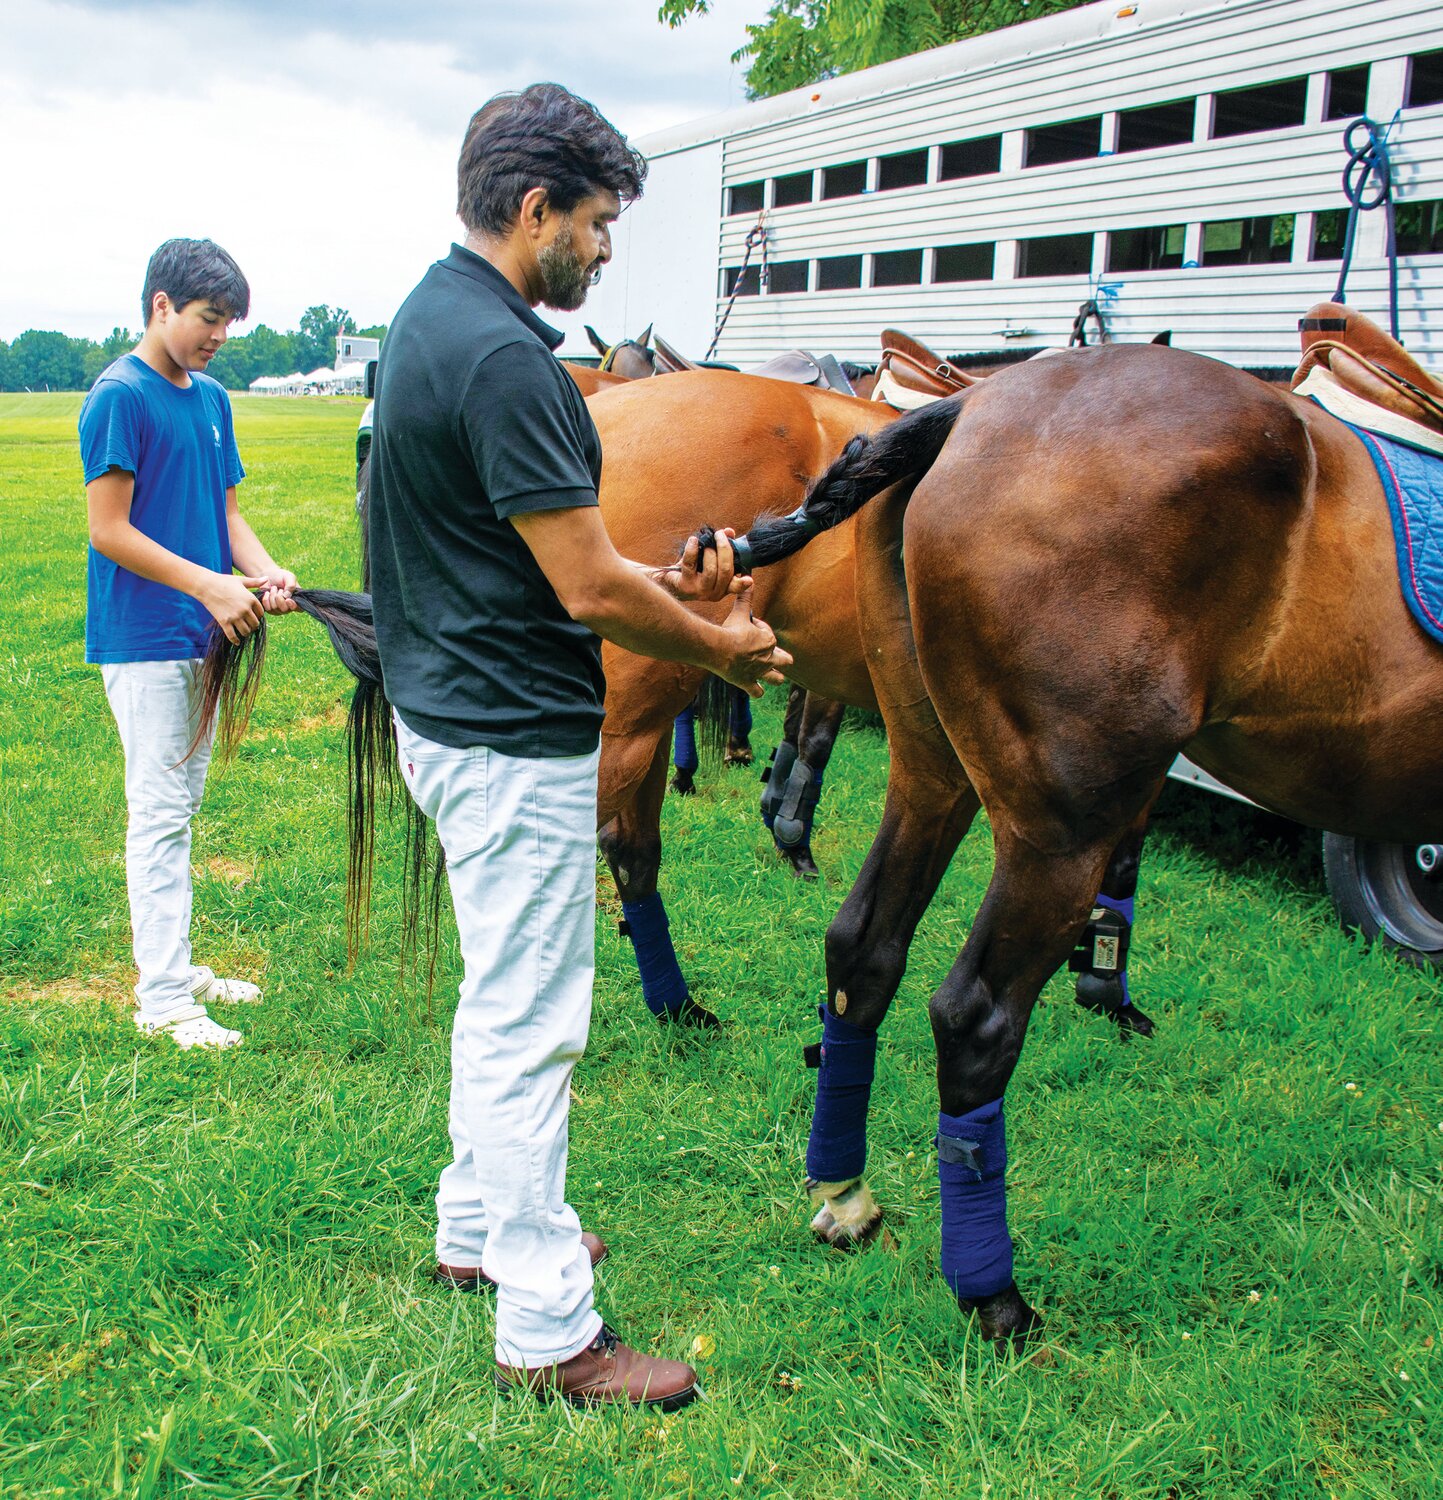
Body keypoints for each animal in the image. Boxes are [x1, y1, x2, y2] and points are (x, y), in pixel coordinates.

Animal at [708, 337, 1440, 1338]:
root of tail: (967, 412)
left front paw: (1108, 991)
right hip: (1053, 831)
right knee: (973, 1015)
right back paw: (993, 1295)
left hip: (933, 774)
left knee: (862, 950)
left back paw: (846, 1193)